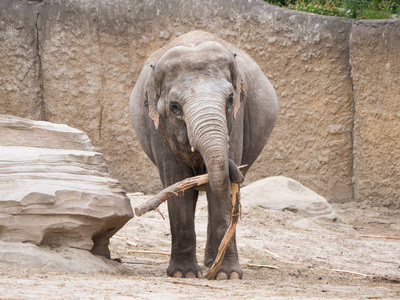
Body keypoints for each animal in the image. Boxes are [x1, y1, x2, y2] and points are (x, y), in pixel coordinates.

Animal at [130, 30, 278, 278]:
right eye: (175, 107)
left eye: (230, 99)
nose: (236, 171)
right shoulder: (158, 130)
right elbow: (176, 182)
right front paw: (183, 274)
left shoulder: (237, 120)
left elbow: (219, 192)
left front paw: (227, 275)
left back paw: (211, 263)